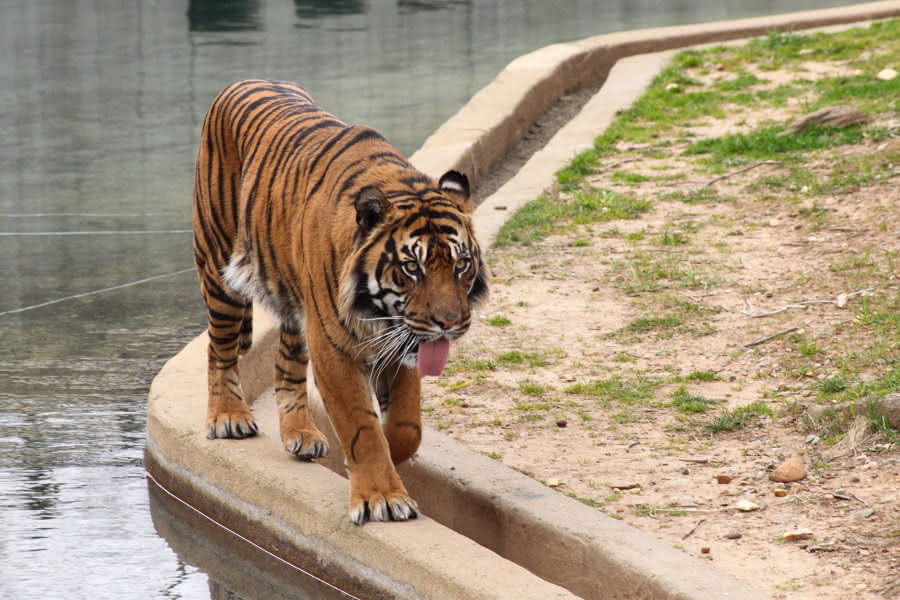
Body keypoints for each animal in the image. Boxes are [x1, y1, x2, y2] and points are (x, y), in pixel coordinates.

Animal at [190, 79, 486, 524]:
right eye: (412, 268)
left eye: (461, 264)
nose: (449, 323)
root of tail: (242, 82)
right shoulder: (334, 347)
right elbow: (362, 427)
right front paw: (382, 497)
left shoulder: (399, 343)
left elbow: (407, 427)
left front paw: (389, 455)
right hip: (218, 269)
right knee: (220, 348)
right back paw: (229, 416)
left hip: (296, 308)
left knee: (286, 365)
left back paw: (301, 433)